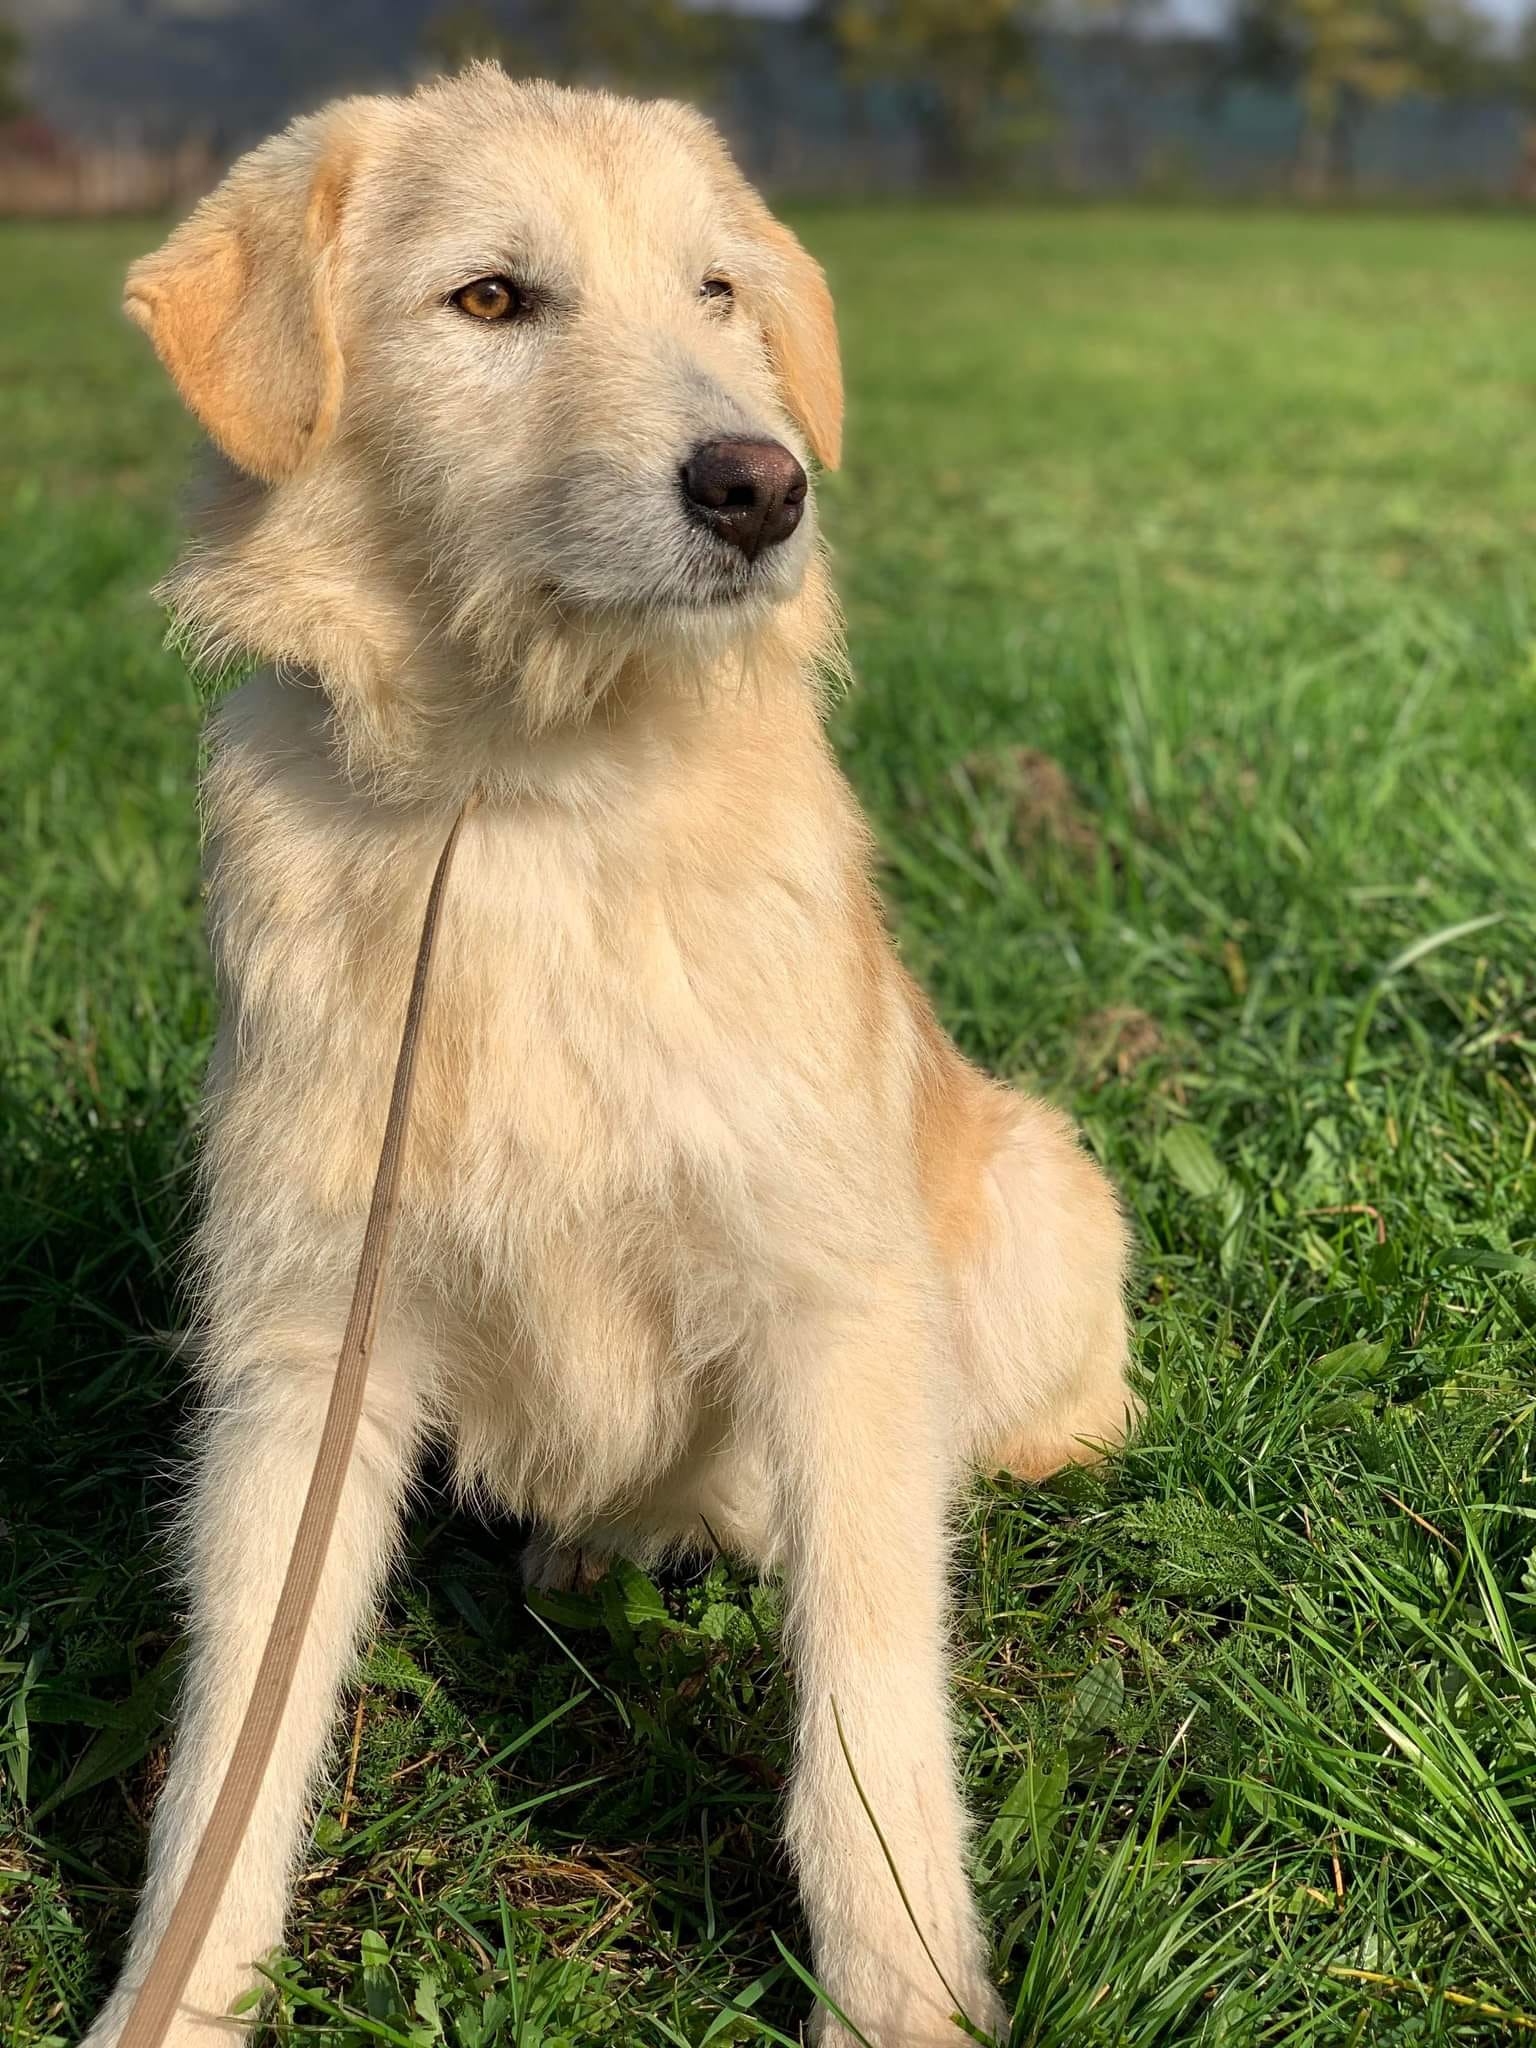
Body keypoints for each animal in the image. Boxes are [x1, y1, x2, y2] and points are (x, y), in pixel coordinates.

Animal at [83, 67, 1134, 2048]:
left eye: (717, 292)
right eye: (492, 298)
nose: (762, 485)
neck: (528, 798)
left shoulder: (834, 1303)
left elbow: (867, 1706)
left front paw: (900, 1997)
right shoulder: (304, 1349)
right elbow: (234, 1728)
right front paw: (170, 1999)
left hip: (1039, 1190)